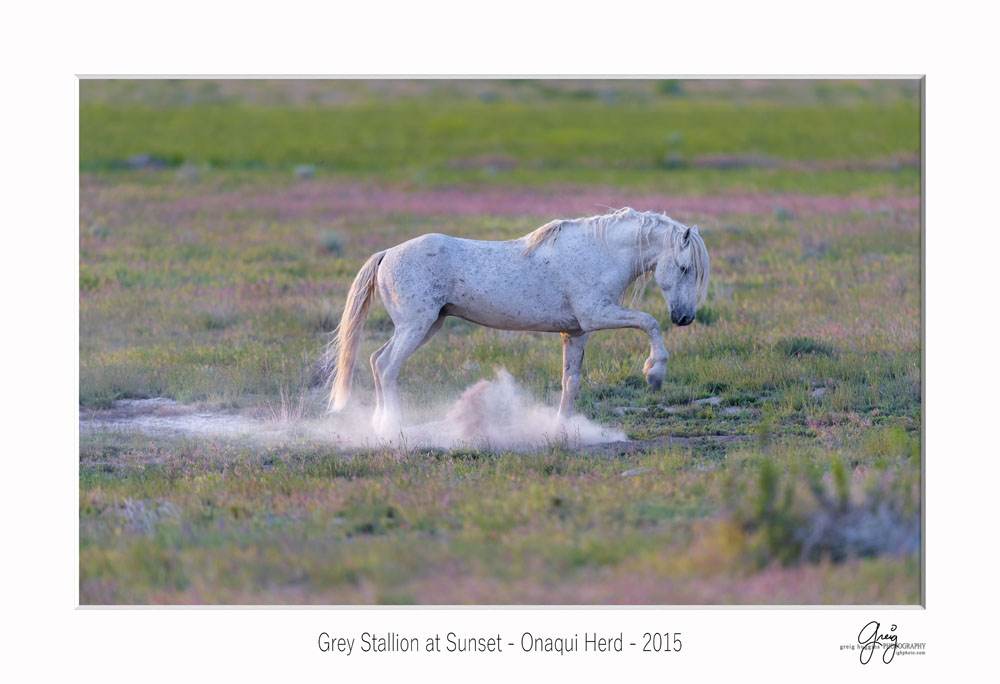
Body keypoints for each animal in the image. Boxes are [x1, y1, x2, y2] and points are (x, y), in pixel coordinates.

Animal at [328, 206, 712, 436]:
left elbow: (570, 381)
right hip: (415, 327)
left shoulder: (576, 331)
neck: (599, 253)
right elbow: (649, 323)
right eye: (684, 268)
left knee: (377, 361)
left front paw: (561, 429)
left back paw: (377, 425)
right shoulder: (597, 314)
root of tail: (387, 254)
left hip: (426, 326)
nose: (684, 317)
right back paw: (392, 427)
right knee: (388, 367)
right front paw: (655, 373)